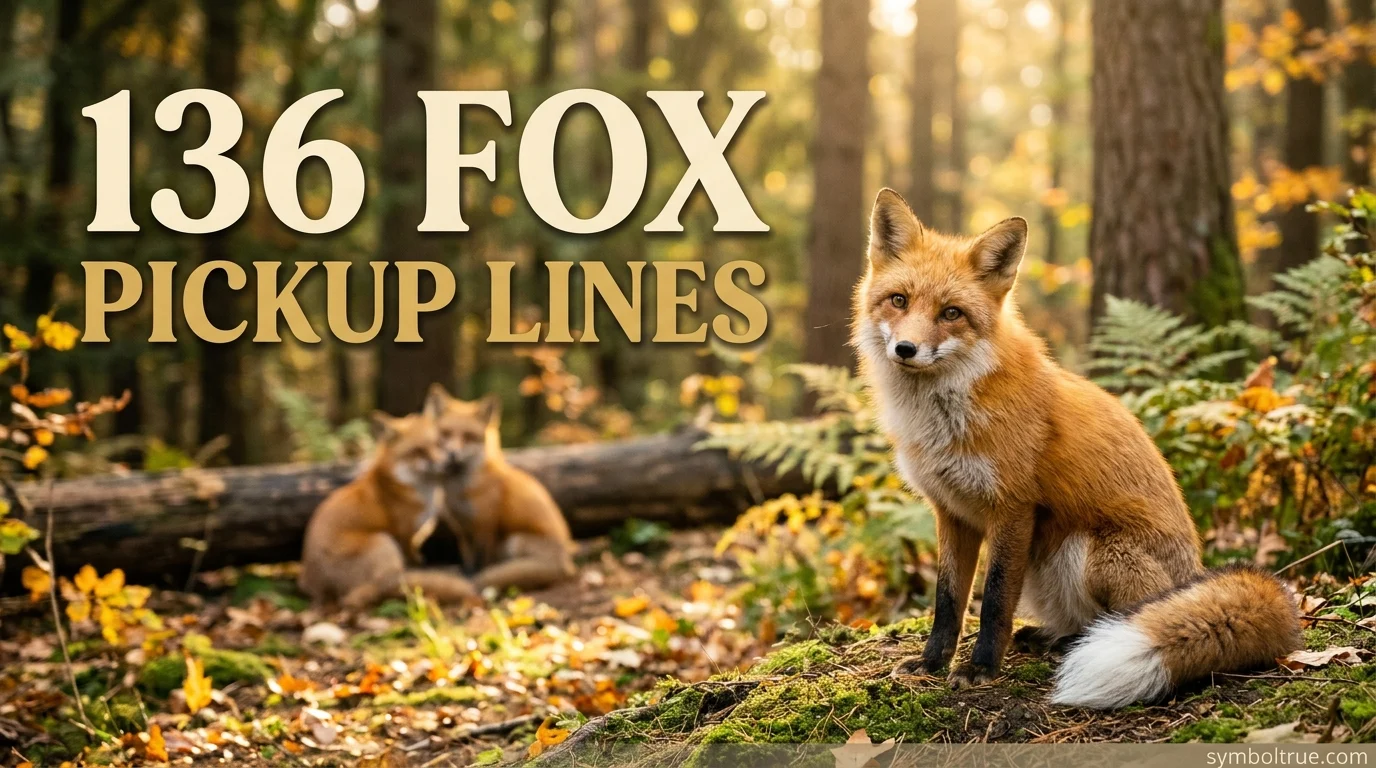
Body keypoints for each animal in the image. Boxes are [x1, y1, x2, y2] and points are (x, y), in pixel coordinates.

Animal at [298, 412, 479, 609]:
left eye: (438, 443)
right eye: (418, 450)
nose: (445, 462)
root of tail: (321, 591)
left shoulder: (415, 536)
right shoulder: (404, 534)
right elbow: (412, 561)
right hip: (383, 541)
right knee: (363, 596)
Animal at [422, 385, 576, 592]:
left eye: (469, 437)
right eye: (445, 433)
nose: (452, 454)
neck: (459, 492)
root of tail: (566, 561)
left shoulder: (485, 526)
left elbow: (482, 562)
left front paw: (475, 576)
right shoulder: (462, 529)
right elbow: (468, 558)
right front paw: (466, 573)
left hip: (514, 541)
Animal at [852, 188, 1301, 709]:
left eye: (951, 313)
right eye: (898, 301)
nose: (906, 349)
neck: (944, 418)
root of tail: (1194, 571)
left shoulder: (1013, 507)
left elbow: (994, 601)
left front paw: (981, 668)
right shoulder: (952, 511)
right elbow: (948, 602)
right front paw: (931, 663)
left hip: (1089, 551)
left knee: (1118, 618)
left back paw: (1074, 643)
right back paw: (1049, 637)